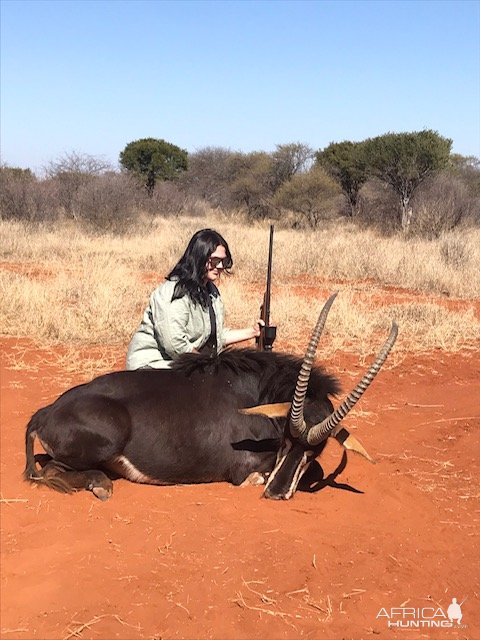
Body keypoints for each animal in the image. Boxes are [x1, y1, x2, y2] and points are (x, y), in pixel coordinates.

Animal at [23, 294, 398, 500]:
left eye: (314, 448)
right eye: (286, 440)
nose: (276, 494)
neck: (260, 391)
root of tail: (45, 412)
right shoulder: (245, 468)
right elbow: (256, 474)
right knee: (50, 470)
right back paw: (100, 484)